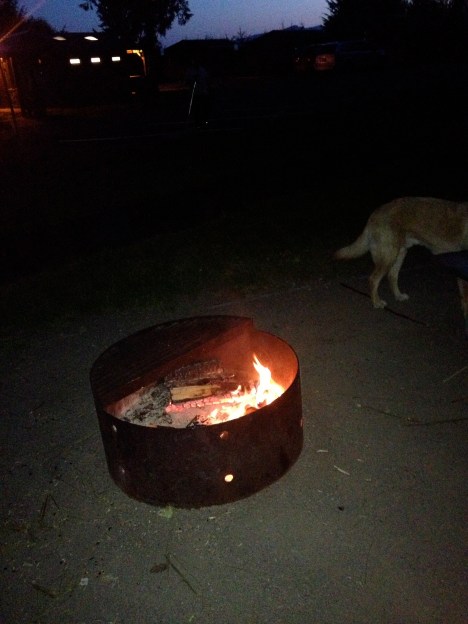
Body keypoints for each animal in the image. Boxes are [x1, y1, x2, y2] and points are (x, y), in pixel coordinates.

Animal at [334, 196, 468, 309]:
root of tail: (375, 213)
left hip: (400, 254)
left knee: (392, 276)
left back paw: (398, 296)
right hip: (389, 255)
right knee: (373, 279)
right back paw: (376, 302)